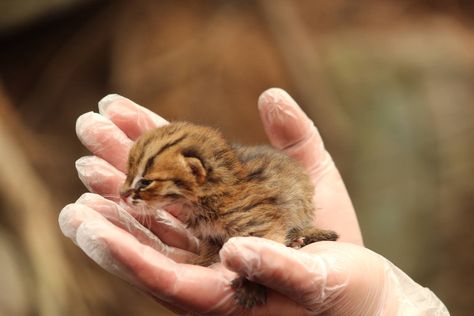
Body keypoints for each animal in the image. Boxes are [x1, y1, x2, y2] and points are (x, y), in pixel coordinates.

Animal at [120, 122, 338, 310]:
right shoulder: (209, 236)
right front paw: (202, 263)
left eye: (145, 182)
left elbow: (261, 255)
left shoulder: (262, 226)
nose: (121, 194)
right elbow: (210, 252)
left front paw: (250, 288)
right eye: (128, 174)